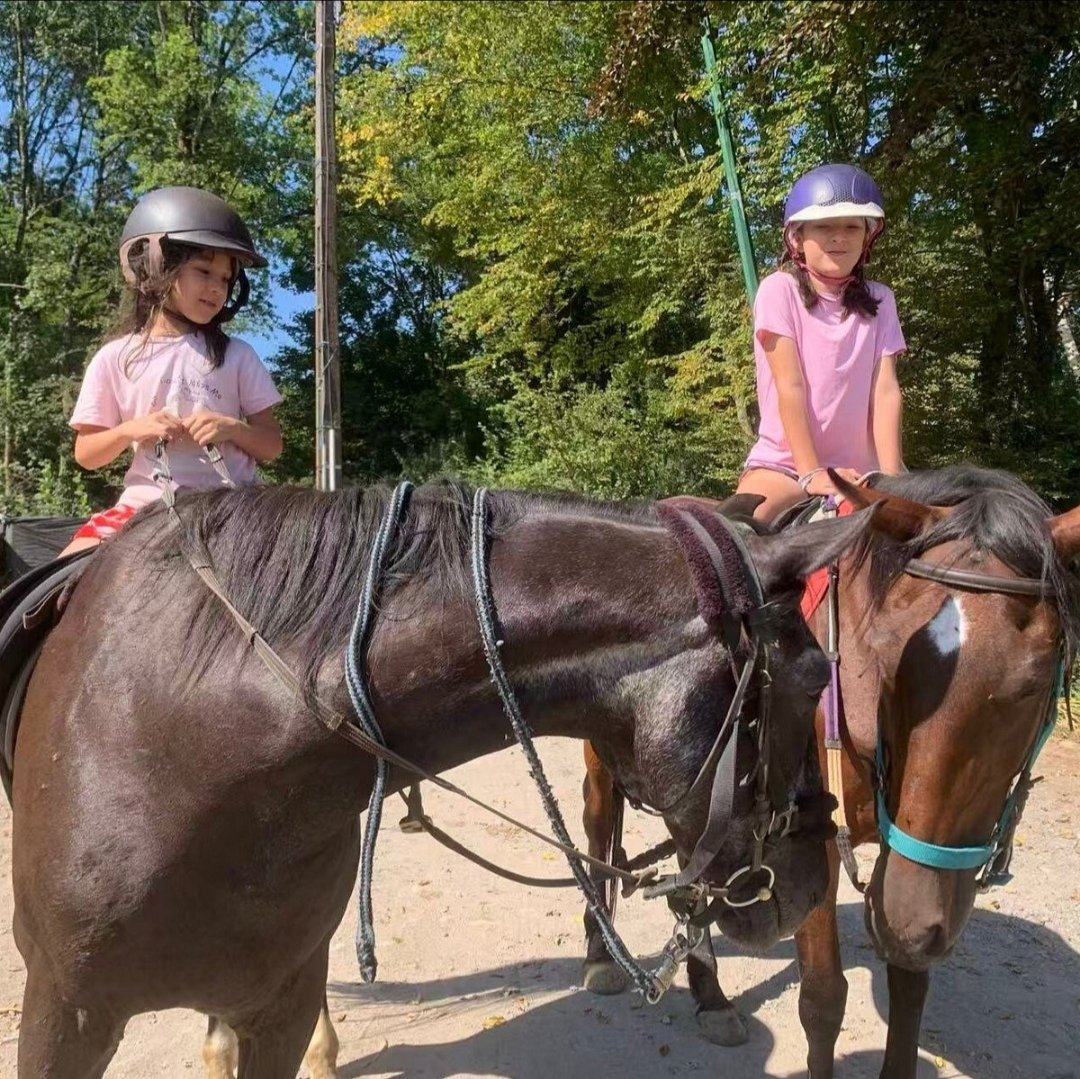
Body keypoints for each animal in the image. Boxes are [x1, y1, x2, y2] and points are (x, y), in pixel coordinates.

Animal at [579, 466, 1080, 1077]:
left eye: (1034, 682)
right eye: (891, 662)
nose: (914, 923)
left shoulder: (908, 859)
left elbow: (909, 982)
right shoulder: (807, 846)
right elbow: (822, 998)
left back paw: (711, 997)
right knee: (597, 832)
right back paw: (602, 957)